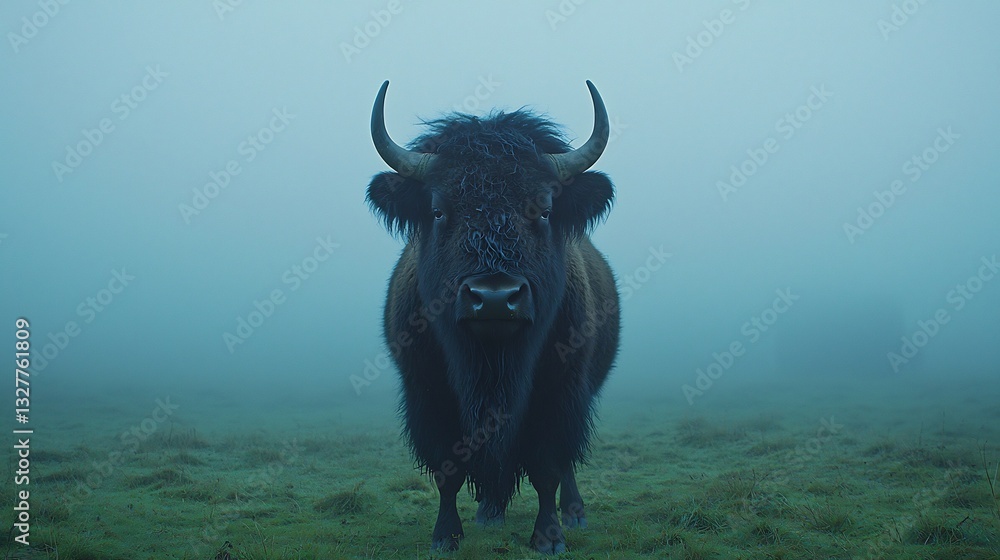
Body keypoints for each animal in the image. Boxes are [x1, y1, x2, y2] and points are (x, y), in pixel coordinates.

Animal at [366, 80, 620, 553]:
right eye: (438, 210)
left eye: (543, 209)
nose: (496, 298)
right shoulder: (428, 396)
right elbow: (447, 471)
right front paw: (445, 537)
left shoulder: (559, 395)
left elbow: (548, 467)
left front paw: (549, 538)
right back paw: (489, 515)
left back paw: (574, 515)